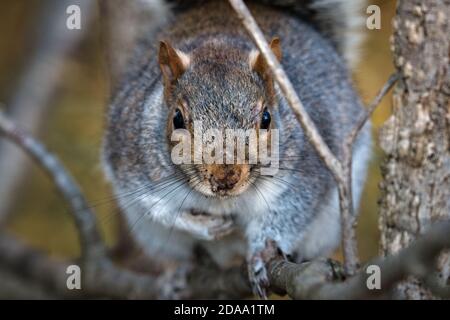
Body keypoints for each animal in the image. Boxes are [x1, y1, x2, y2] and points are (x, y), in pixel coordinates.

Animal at [103, 0, 372, 298]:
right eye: (177, 119)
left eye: (266, 118)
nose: (225, 178)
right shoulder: (132, 164)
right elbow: (157, 207)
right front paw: (206, 226)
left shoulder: (307, 171)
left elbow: (290, 211)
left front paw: (260, 255)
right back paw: (176, 273)